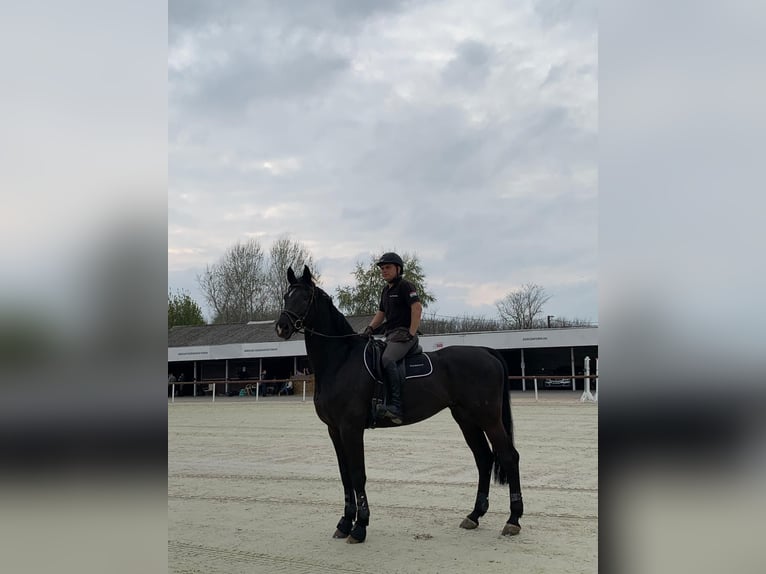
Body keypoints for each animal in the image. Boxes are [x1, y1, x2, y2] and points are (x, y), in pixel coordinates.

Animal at [280, 268, 524, 548]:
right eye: (286, 296)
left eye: (304, 297)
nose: (281, 326)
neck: (341, 361)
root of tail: (486, 351)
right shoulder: (334, 430)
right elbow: (344, 475)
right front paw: (344, 523)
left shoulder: (351, 428)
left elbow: (357, 474)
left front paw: (360, 527)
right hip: (467, 419)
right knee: (484, 458)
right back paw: (474, 515)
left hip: (489, 419)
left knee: (509, 457)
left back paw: (513, 520)